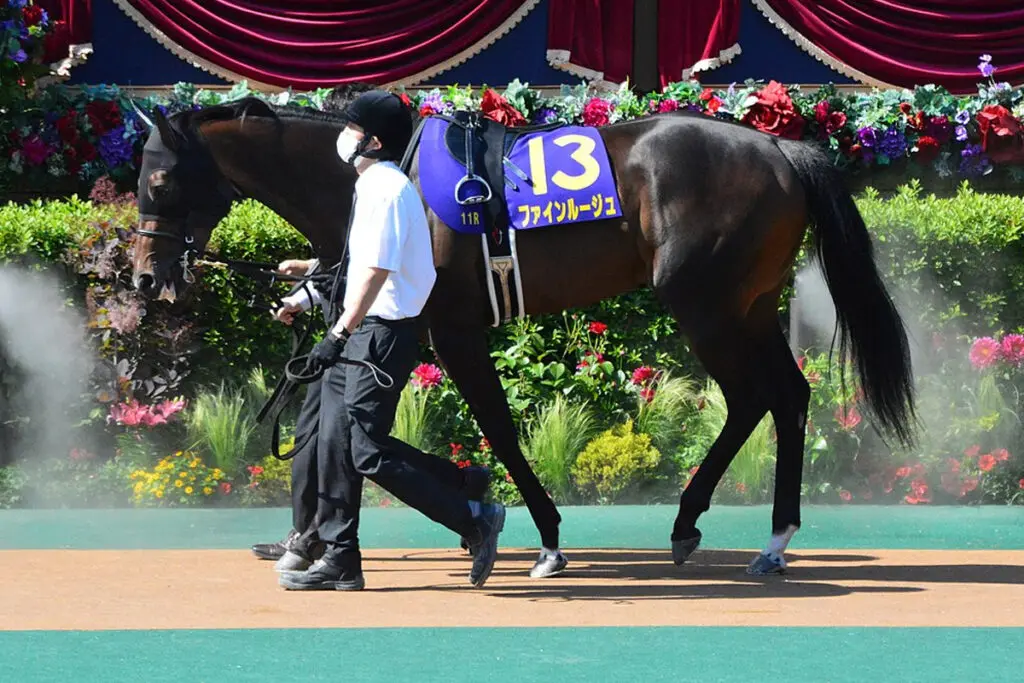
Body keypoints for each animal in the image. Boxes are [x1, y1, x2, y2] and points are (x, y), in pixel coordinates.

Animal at [129, 91, 918, 576]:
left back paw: (712, 527)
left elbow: (498, 431)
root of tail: (784, 152)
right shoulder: (404, 329)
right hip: (748, 305)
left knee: (756, 396)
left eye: (159, 182)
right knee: (785, 396)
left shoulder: (448, 328)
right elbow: (340, 426)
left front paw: (539, 536)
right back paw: (760, 536)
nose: (142, 276)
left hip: (706, 304)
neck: (384, 175)